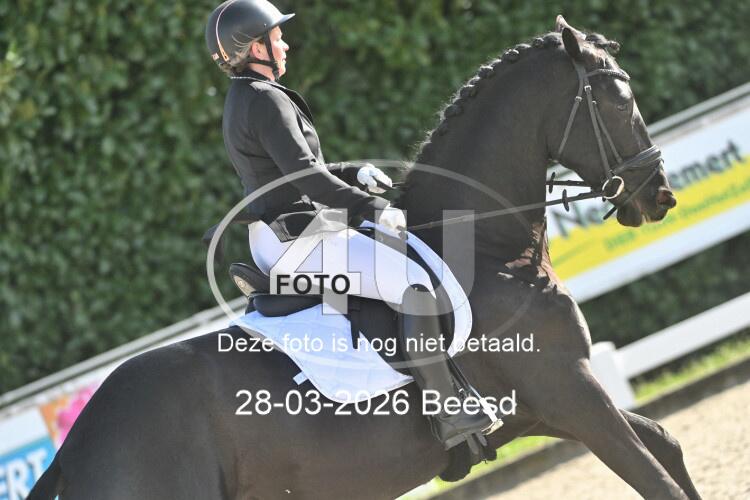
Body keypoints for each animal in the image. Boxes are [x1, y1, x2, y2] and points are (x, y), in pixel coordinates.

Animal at [29, 17, 700, 500]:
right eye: (620, 99)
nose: (659, 195)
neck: (491, 252)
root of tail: (76, 446)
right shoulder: (569, 392)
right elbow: (656, 479)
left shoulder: (547, 408)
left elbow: (666, 444)